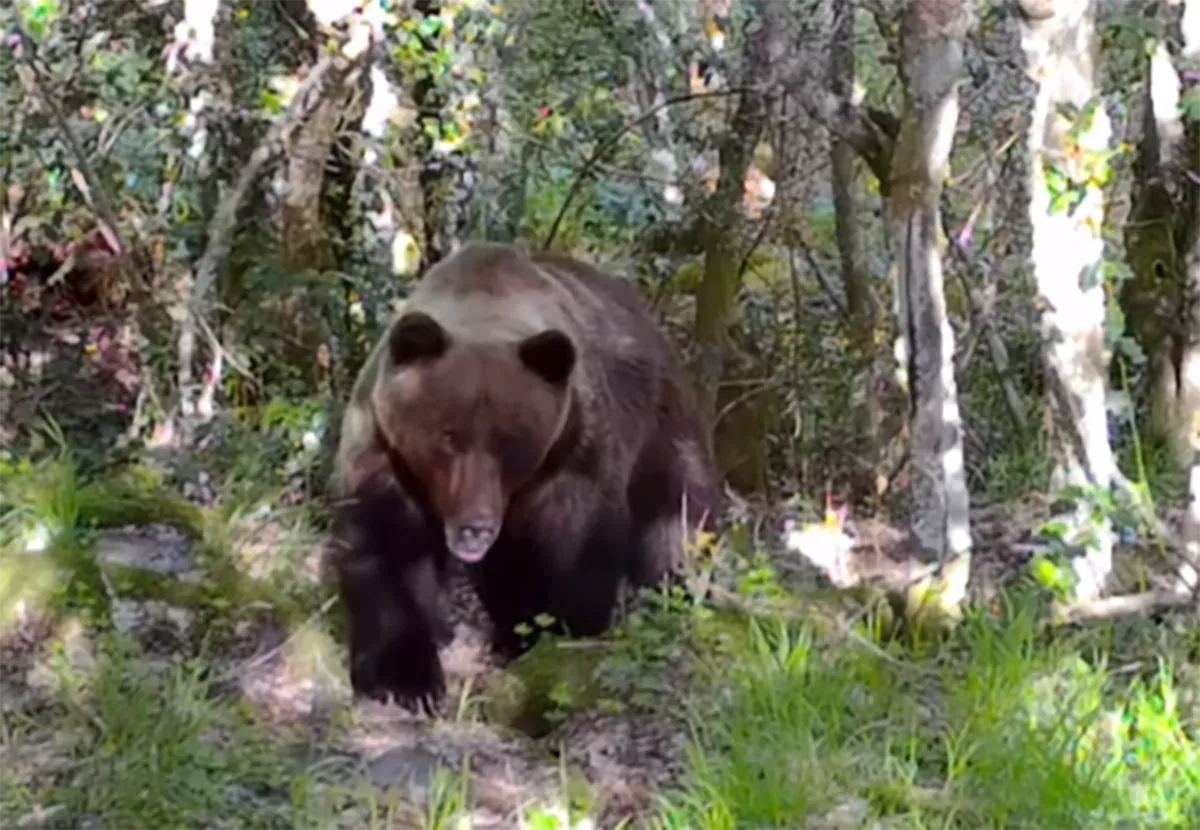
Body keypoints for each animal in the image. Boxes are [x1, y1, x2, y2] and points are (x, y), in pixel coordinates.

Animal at [328, 242, 722, 713]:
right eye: (448, 435)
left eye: (509, 440)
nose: (475, 527)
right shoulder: (387, 451)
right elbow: (387, 548)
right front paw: (406, 679)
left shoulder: (572, 452)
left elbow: (572, 548)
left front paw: (557, 630)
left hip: (663, 433)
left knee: (676, 519)